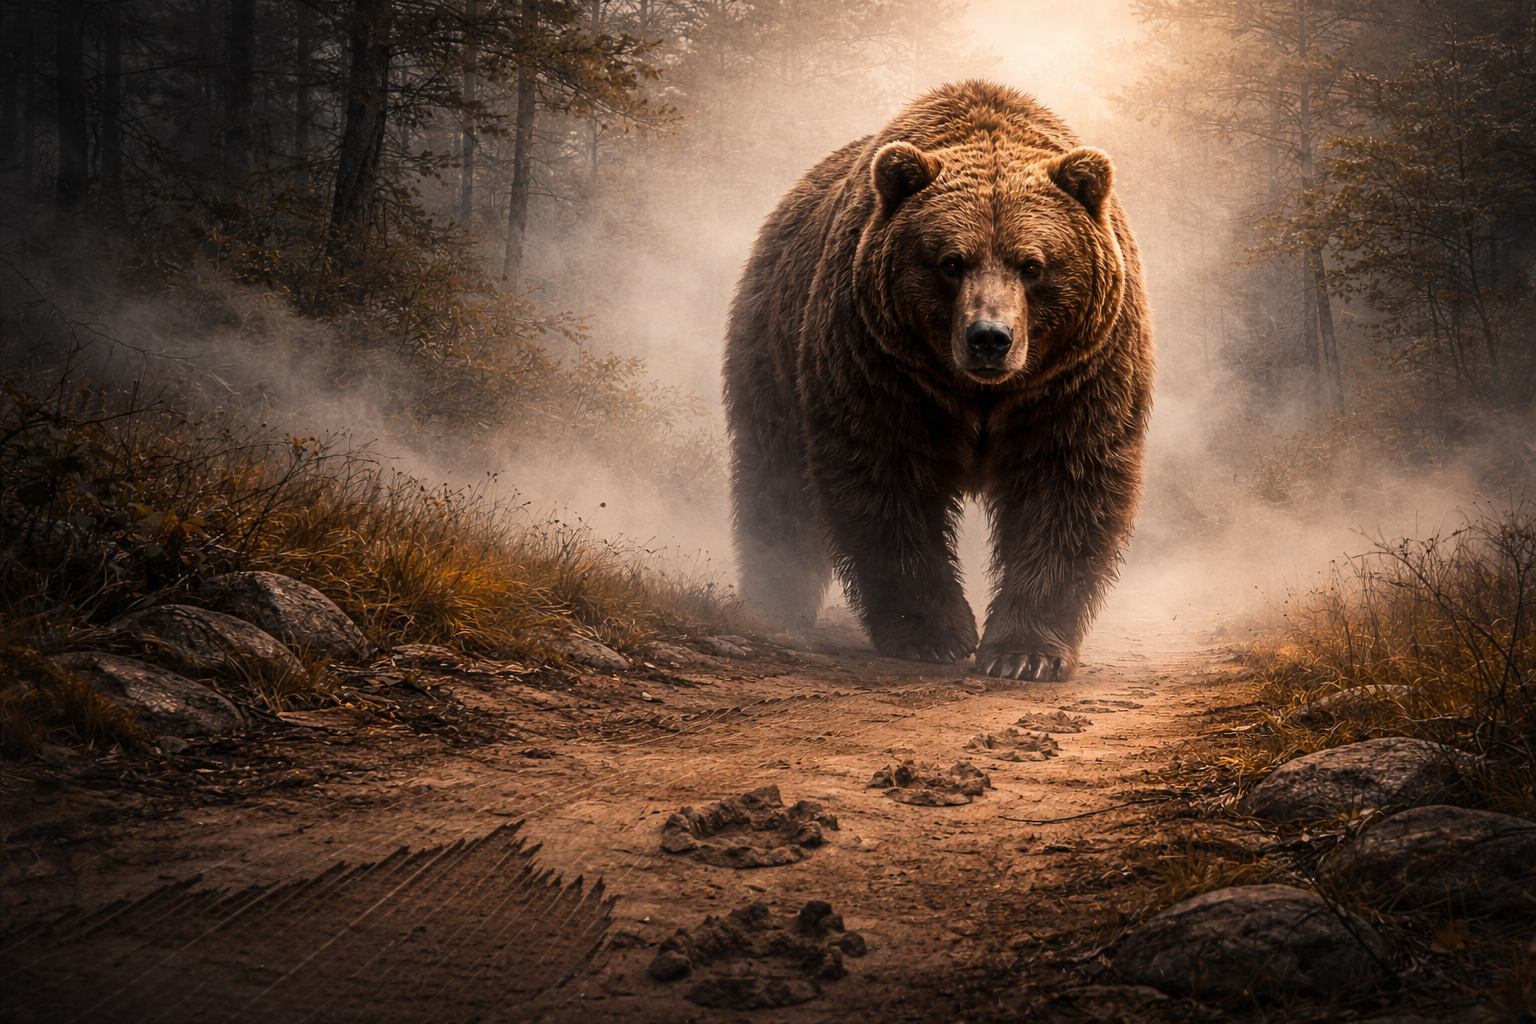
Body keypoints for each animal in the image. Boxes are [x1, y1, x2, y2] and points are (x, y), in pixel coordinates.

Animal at [723, 80, 1154, 682]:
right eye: (952, 261)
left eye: (1032, 264)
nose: (990, 337)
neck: (980, 392)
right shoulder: (882, 365)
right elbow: (886, 482)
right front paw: (934, 635)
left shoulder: (1075, 376)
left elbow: (1066, 484)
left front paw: (1024, 653)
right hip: (772, 347)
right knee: (776, 482)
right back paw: (775, 604)